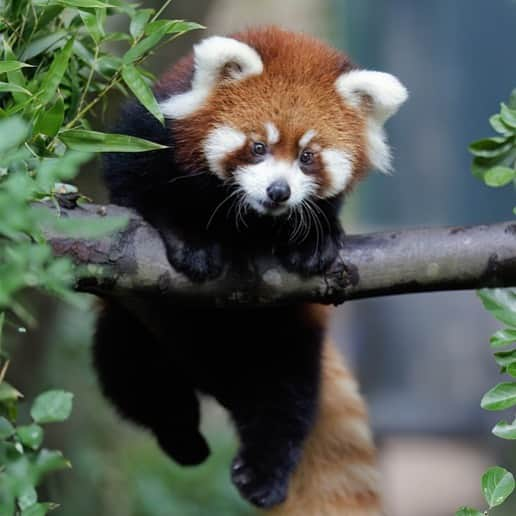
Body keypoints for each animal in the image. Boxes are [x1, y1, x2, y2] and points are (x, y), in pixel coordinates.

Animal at [98, 25, 408, 516]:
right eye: (258, 147)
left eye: (307, 156)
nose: (278, 192)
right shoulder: (147, 132)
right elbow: (135, 186)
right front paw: (192, 241)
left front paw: (314, 241)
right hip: (133, 325)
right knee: (139, 379)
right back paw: (184, 441)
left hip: (284, 334)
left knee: (282, 398)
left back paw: (265, 474)